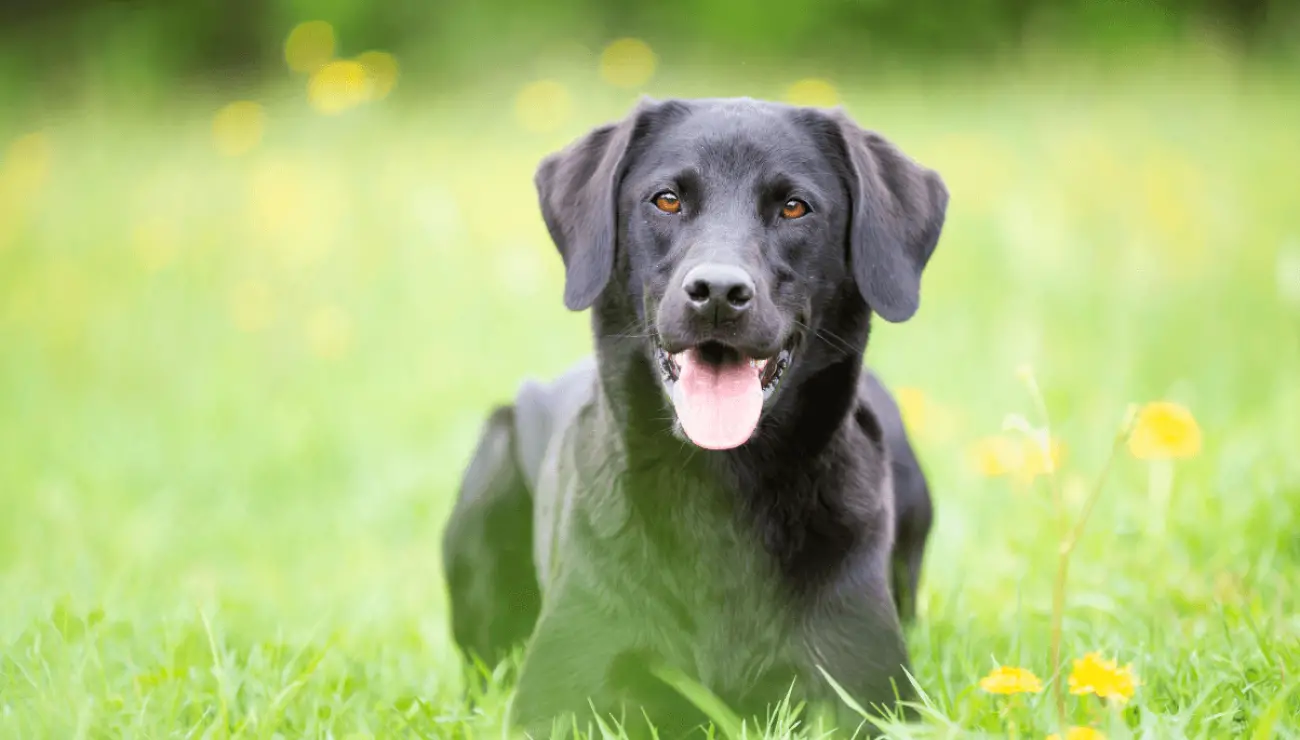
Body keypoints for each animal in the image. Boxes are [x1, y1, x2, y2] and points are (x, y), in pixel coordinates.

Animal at [441, 98, 951, 738]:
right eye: (666, 199)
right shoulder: (558, 699)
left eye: (794, 206)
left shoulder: (865, 696)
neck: (719, 492)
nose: (717, 292)